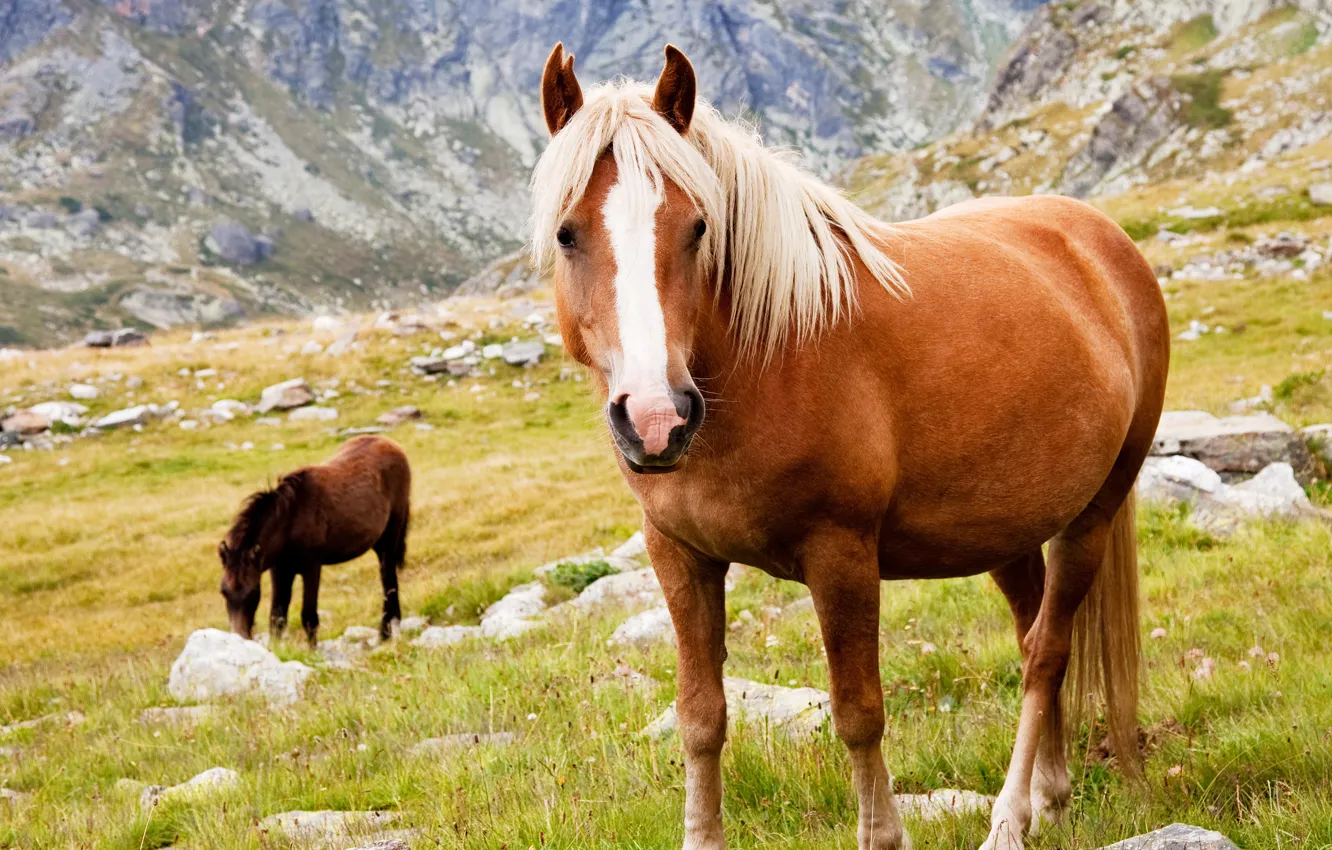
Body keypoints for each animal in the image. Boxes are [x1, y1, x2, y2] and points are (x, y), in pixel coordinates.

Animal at [218, 435, 412, 645]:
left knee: (388, 581)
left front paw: (314, 650)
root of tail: (391, 444)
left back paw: (387, 631)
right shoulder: (279, 570)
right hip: (378, 542)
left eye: (253, 592)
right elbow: (277, 617)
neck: (290, 520)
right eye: (224, 592)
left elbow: (309, 617)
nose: (239, 637)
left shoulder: (311, 568)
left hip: (391, 537)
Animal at [531, 44, 1169, 850]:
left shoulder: (841, 555)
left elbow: (859, 713)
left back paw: (1009, 816)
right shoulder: (678, 553)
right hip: (1010, 530)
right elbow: (701, 717)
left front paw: (883, 831)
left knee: (1045, 654)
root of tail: (1100, 240)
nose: (655, 419)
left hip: (1093, 515)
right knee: (1034, 633)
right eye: (567, 233)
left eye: (698, 227)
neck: (767, 357)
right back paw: (1048, 797)